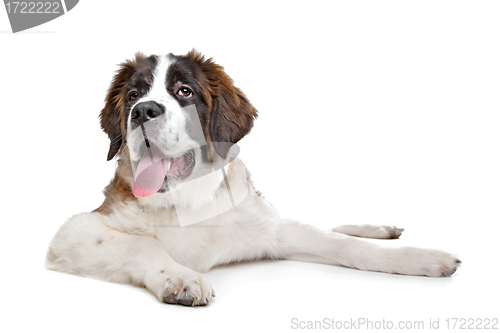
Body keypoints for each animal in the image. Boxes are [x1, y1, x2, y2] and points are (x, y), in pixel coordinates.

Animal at [46, 50, 460, 306]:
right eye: (133, 94)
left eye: (185, 91)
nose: (143, 110)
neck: (186, 200)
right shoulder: (75, 232)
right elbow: (143, 244)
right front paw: (180, 277)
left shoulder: (270, 230)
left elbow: (344, 246)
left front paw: (421, 258)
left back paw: (382, 230)